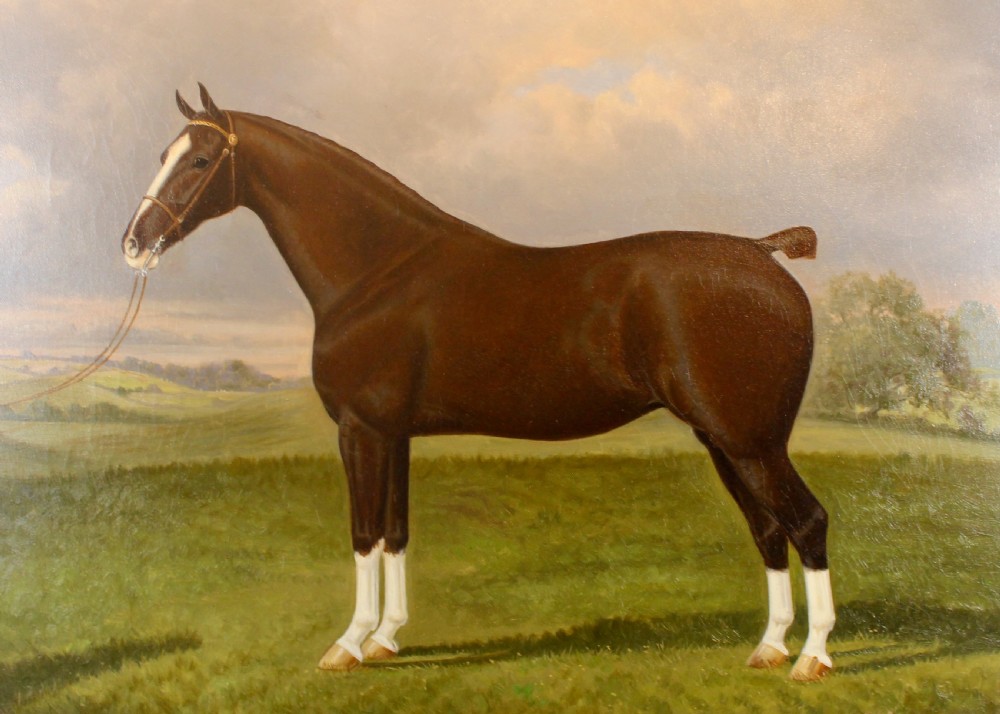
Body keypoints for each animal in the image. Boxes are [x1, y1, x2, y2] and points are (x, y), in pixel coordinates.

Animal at [121, 84, 835, 681]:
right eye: (163, 154)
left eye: (199, 160)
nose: (134, 242)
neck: (378, 270)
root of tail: (763, 251)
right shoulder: (394, 434)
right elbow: (396, 531)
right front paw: (387, 638)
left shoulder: (360, 431)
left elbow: (362, 534)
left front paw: (349, 644)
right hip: (726, 442)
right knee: (768, 530)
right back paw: (770, 647)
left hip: (751, 443)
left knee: (807, 522)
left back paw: (813, 657)